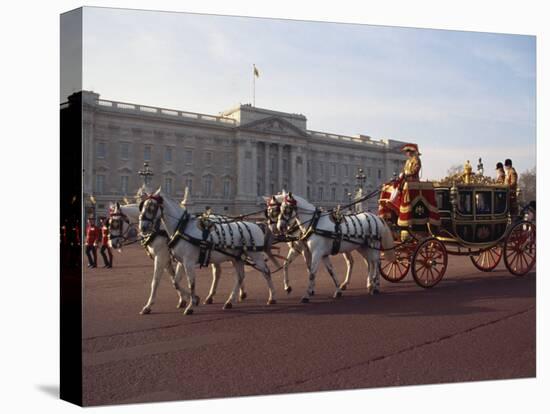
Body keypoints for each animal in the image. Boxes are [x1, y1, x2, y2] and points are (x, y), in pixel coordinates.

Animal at [138, 188, 276, 314]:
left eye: (151, 207)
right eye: (142, 206)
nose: (143, 227)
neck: (181, 228)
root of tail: (256, 224)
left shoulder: (184, 261)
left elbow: (190, 283)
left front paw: (190, 306)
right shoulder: (181, 262)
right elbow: (175, 282)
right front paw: (193, 299)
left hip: (255, 255)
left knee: (266, 272)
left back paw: (271, 298)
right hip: (237, 258)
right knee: (239, 276)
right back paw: (229, 301)